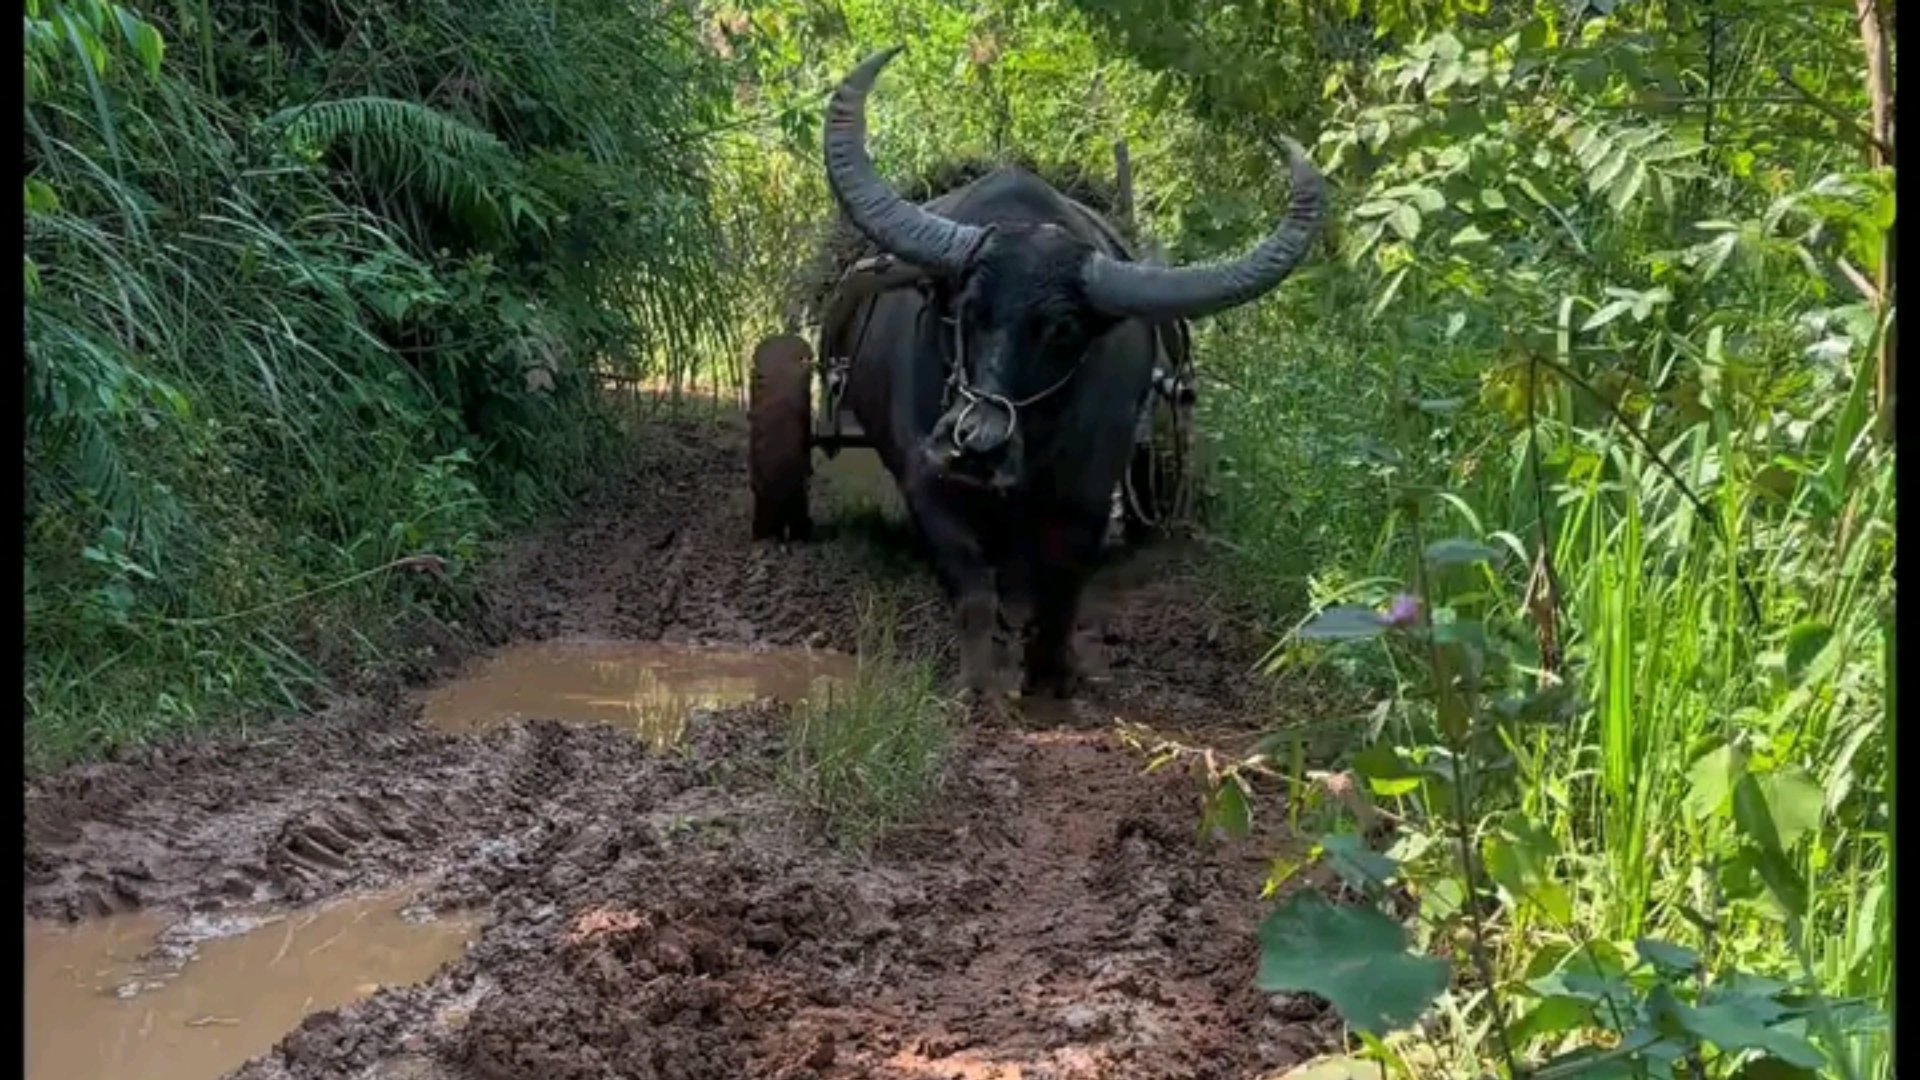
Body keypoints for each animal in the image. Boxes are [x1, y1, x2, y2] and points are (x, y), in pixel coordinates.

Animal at [817, 46, 1328, 699]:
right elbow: (972, 586)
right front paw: (979, 683)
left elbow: (1062, 584)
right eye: (967, 310)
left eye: (1062, 331)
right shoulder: (925, 478)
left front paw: (1052, 673)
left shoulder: (1089, 489)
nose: (973, 445)